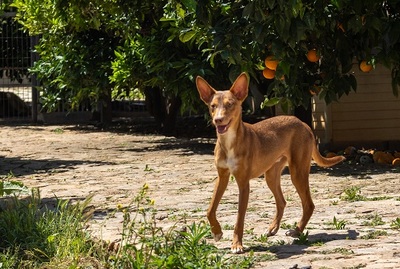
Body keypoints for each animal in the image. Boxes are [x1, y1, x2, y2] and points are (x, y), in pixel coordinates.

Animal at [195, 71, 346, 251]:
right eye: (212, 106)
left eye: (230, 104)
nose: (218, 120)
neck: (229, 142)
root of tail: (302, 123)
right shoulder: (222, 176)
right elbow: (210, 209)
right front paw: (217, 232)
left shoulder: (243, 183)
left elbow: (239, 218)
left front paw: (237, 244)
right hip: (271, 176)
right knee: (282, 202)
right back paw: (274, 228)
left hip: (298, 173)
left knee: (308, 204)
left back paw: (297, 231)